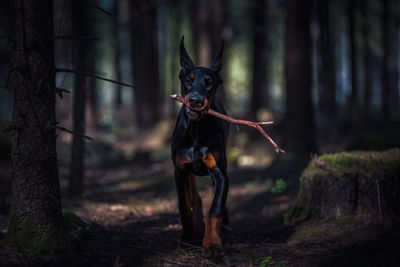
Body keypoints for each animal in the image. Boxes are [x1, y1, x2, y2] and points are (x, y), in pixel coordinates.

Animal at [171, 37, 230, 255]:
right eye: (188, 80)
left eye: (209, 82)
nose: (196, 101)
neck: (196, 130)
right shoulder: (180, 171)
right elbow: (183, 206)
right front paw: (188, 238)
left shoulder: (220, 173)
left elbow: (215, 209)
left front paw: (212, 243)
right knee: (194, 198)